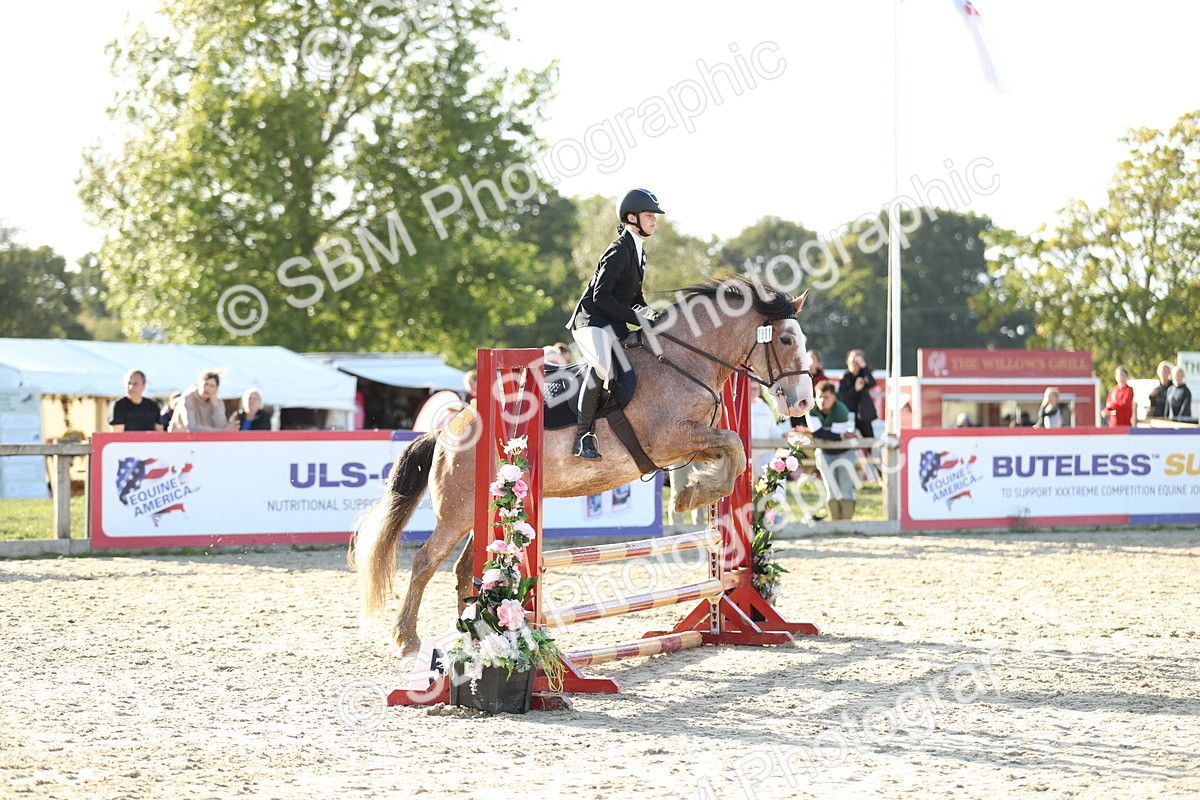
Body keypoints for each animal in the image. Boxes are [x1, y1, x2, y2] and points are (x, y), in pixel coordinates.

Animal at [352, 276, 816, 654]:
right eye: (786, 341)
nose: (803, 403)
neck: (683, 361)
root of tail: (448, 430)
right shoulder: (670, 438)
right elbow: (734, 447)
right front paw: (691, 496)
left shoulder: (688, 441)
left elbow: (733, 454)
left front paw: (694, 492)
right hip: (458, 511)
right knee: (425, 561)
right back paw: (408, 639)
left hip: (481, 509)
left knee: (467, 568)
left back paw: (474, 633)